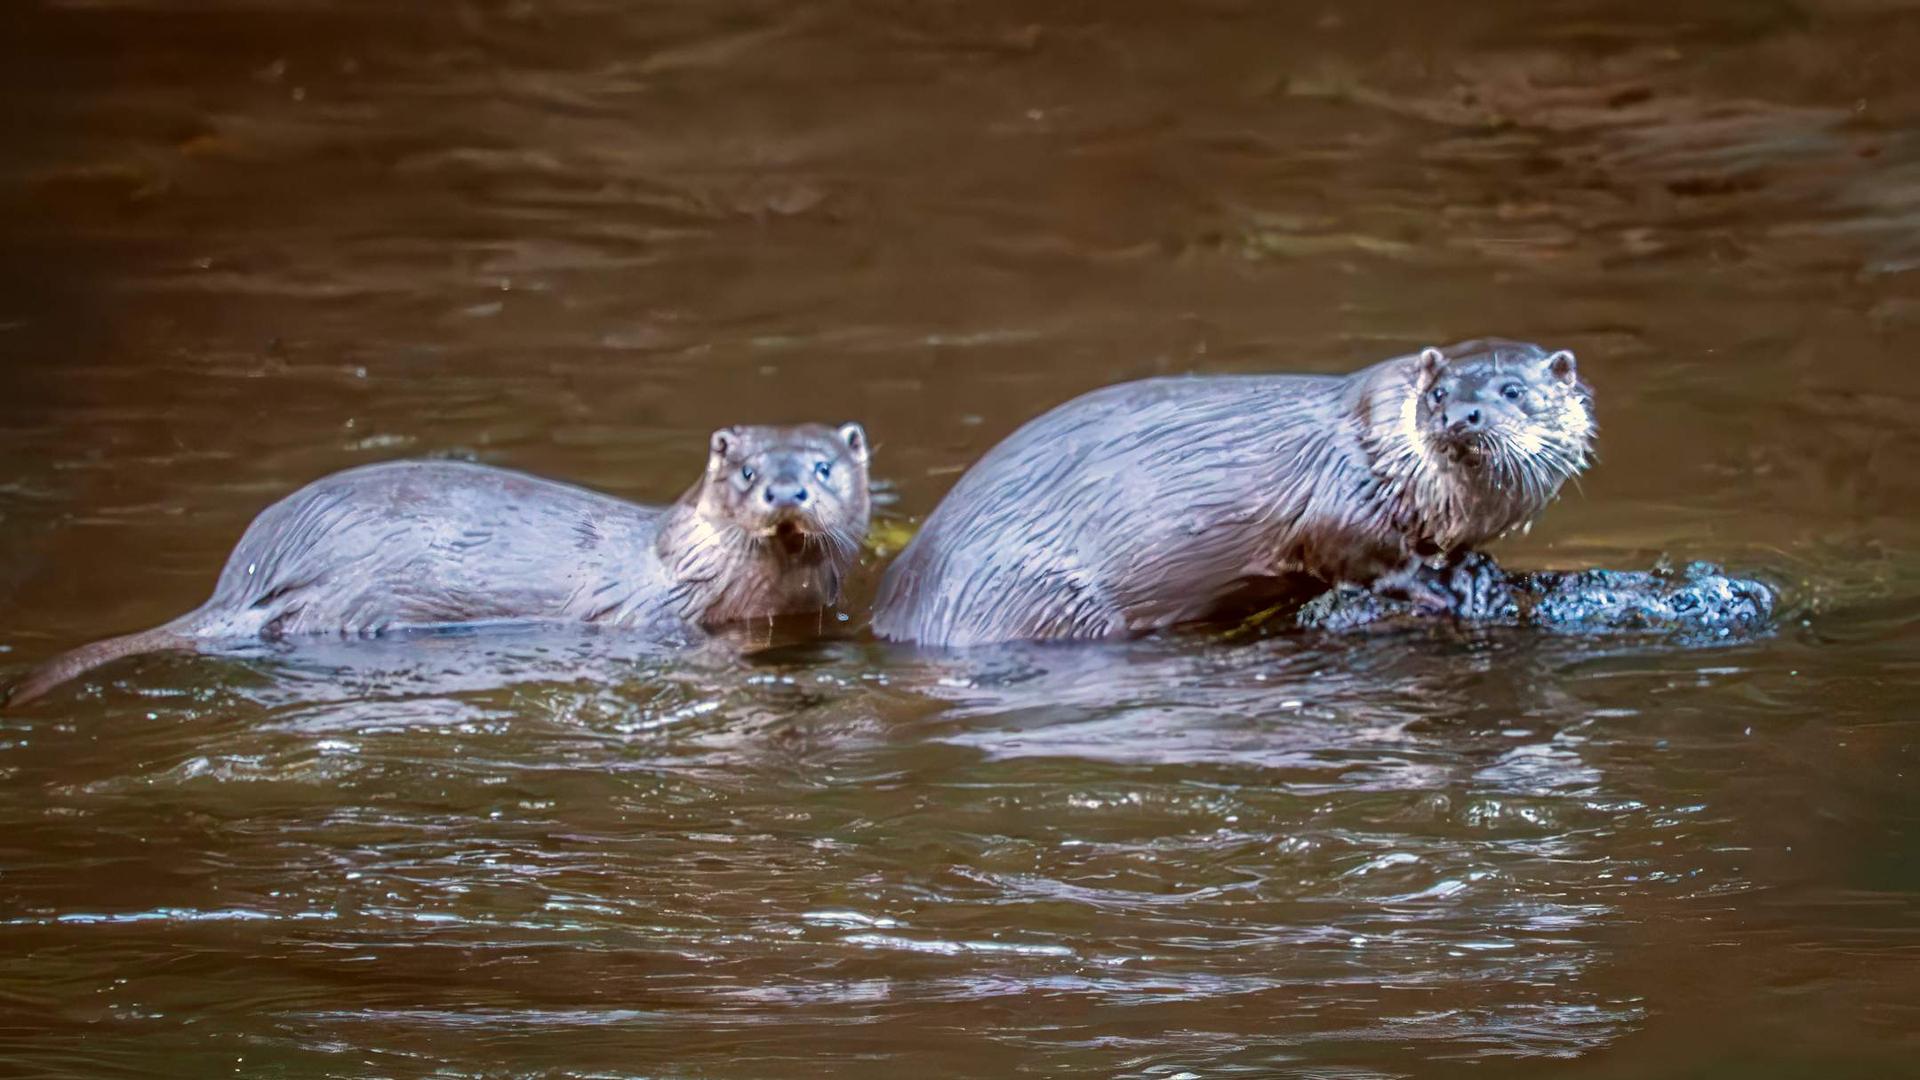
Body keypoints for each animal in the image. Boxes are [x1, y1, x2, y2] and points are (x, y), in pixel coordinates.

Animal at [872, 340, 1593, 646]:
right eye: (1438, 394)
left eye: (1512, 391)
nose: (1461, 416)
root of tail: (900, 603)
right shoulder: (1341, 493)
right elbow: (1360, 555)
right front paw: (1441, 584)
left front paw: (1475, 567)